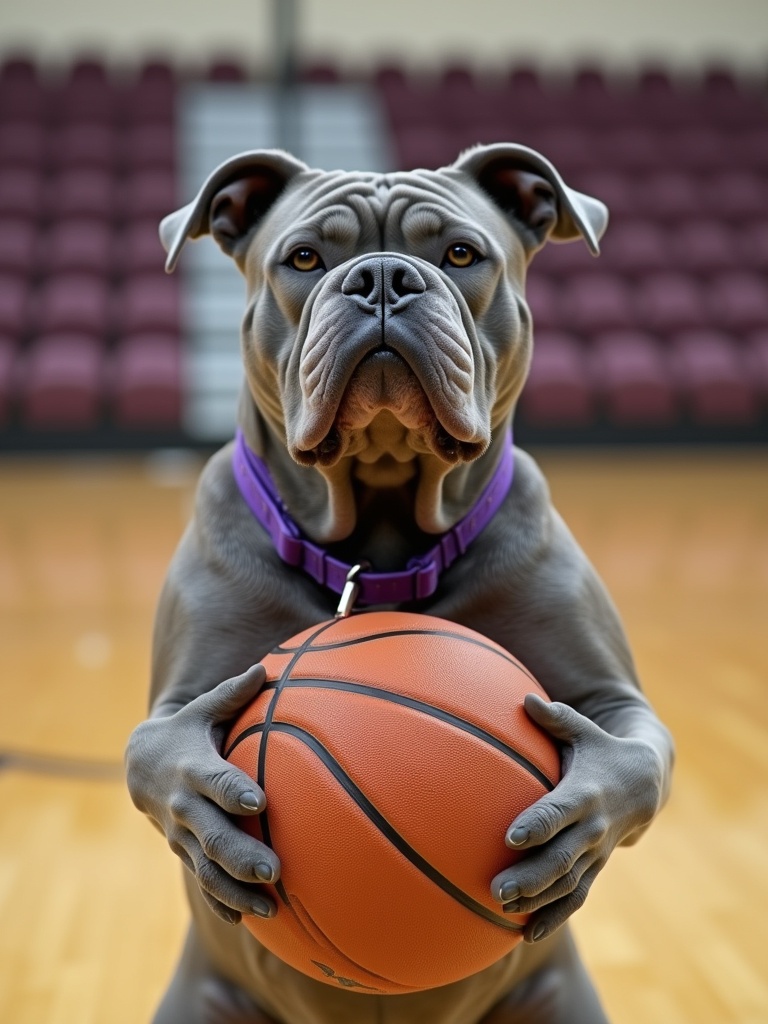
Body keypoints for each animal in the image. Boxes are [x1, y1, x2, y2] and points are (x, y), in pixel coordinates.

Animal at [126, 144, 671, 1024]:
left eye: (460, 253)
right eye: (304, 259)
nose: (383, 277)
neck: (379, 545)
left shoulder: (615, 700)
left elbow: (637, 764)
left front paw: (579, 823)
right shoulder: (175, 704)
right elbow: (156, 757)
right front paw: (206, 812)